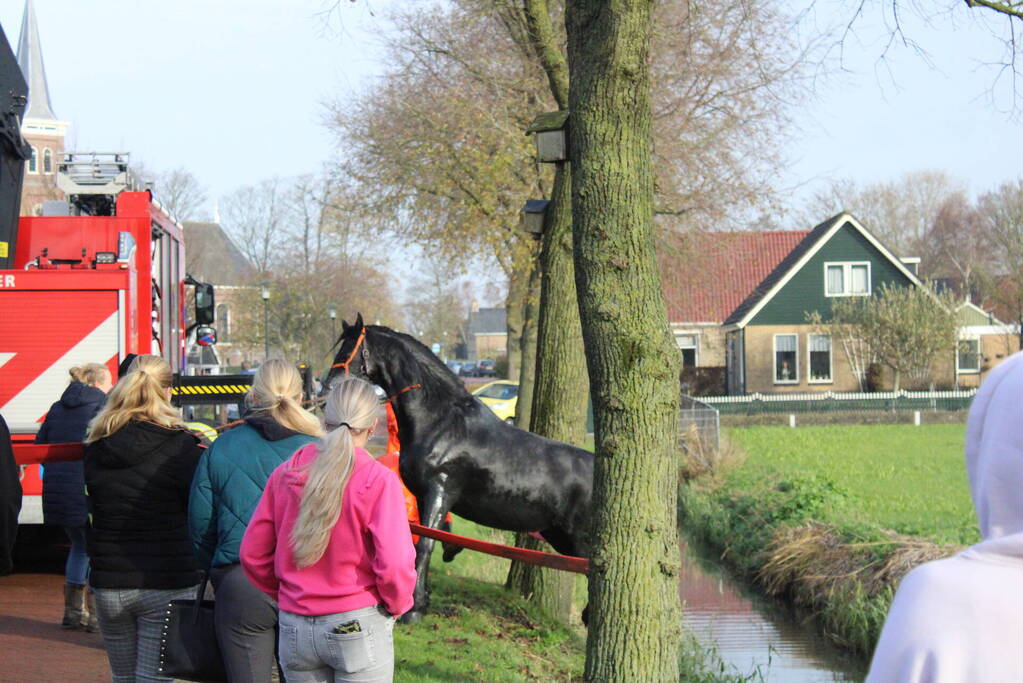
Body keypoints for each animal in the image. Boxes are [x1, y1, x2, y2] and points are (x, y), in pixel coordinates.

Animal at [325, 314, 594, 623]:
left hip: (580, 541)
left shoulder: (441, 489)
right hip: (559, 536)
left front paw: (413, 609)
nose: (328, 385)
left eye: (351, 348)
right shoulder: (422, 494)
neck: (441, 421)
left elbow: (425, 546)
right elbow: (425, 540)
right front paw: (426, 594)